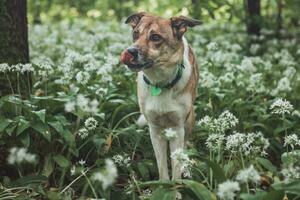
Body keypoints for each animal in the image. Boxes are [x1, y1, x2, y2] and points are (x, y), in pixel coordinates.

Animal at [119, 12, 199, 181]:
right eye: (135, 34)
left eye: (155, 37)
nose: (130, 51)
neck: (160, 83)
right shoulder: (154, 129)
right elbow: (161, 165)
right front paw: (163, 184)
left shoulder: (177, 128)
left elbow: (176, 165)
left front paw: (176, 186)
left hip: (189, 120)